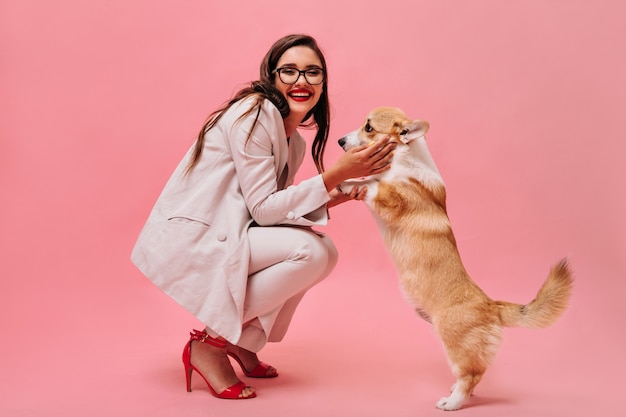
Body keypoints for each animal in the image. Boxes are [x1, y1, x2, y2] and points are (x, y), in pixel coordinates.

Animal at [336, 106, 572, 410]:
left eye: (368, 128)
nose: (340, 141)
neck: (404, 159)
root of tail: (492, 306)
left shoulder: (393, 199)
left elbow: (376, 185)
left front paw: (347, 180)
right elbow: (367, 180)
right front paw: (345, 180)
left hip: (453, 341)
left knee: (471, 375)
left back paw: (453, 402)